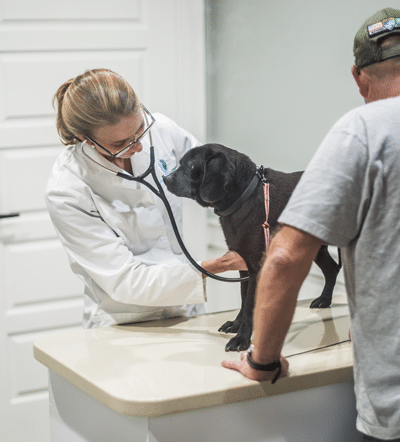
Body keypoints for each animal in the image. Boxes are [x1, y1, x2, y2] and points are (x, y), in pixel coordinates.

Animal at [164, 145, 342, 352]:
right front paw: (236, 325)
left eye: (190, 165)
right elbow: (243, 300)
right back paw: (324, 300)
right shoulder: (243, 265)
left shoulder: (257, 267)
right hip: (316, 248)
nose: (165, 178)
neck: (244, 197)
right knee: (332, 269)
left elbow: (250, 305)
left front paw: (242, 339)